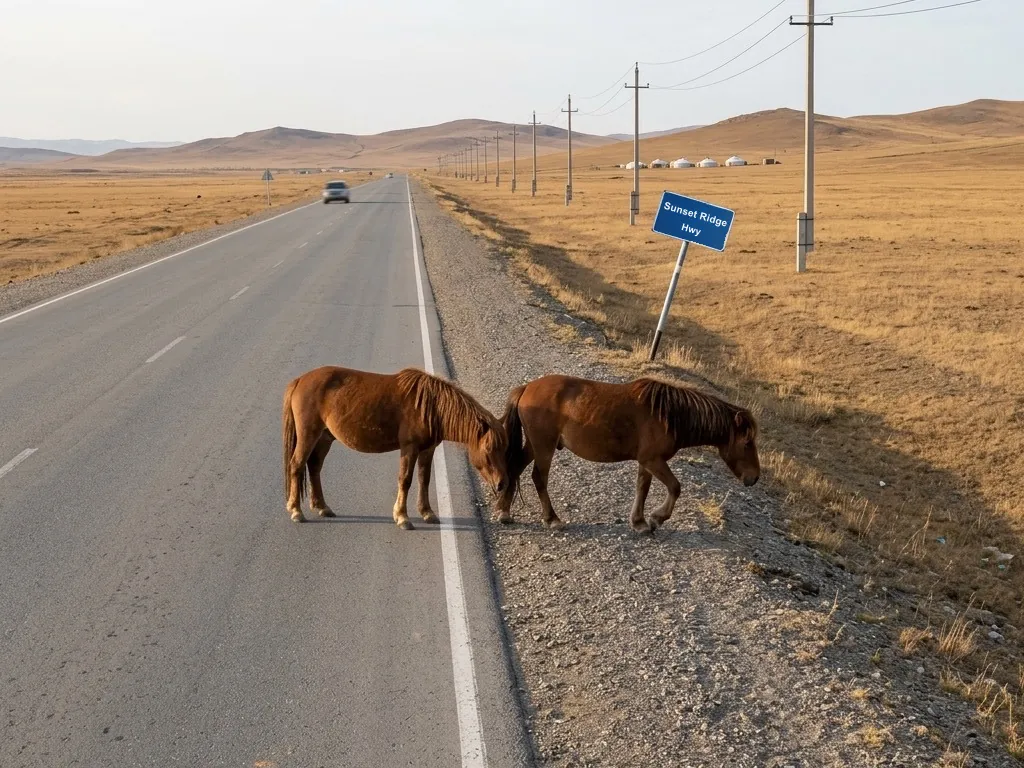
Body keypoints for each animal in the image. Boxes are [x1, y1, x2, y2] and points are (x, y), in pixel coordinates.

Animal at [282, 366, 508, 529]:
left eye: (504, 448)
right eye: (489, 450)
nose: (501, 484)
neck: (430, 406)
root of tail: (300, 380)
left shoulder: (427, 450)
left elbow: (424, 479)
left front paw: (427, 513)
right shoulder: (409, 448)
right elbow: (405, 480)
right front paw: (402, 517)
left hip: (324, 438)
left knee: (314, 467)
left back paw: (322, 507)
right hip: (308, 435)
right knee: (297, 465)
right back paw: (296, 511)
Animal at [496, 374, 760, 533]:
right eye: (748, 443)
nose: (754, 477)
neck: (668, 415)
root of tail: (527, 388)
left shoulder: (647, 462)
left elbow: (642, 489)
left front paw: (639, 521)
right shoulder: (654, 460)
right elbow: (675, 487)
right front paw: (657, 518)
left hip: (535, 445)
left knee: (516, 467)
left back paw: (505, 511)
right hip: (544, 446)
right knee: (539, 478)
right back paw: (552, 518)